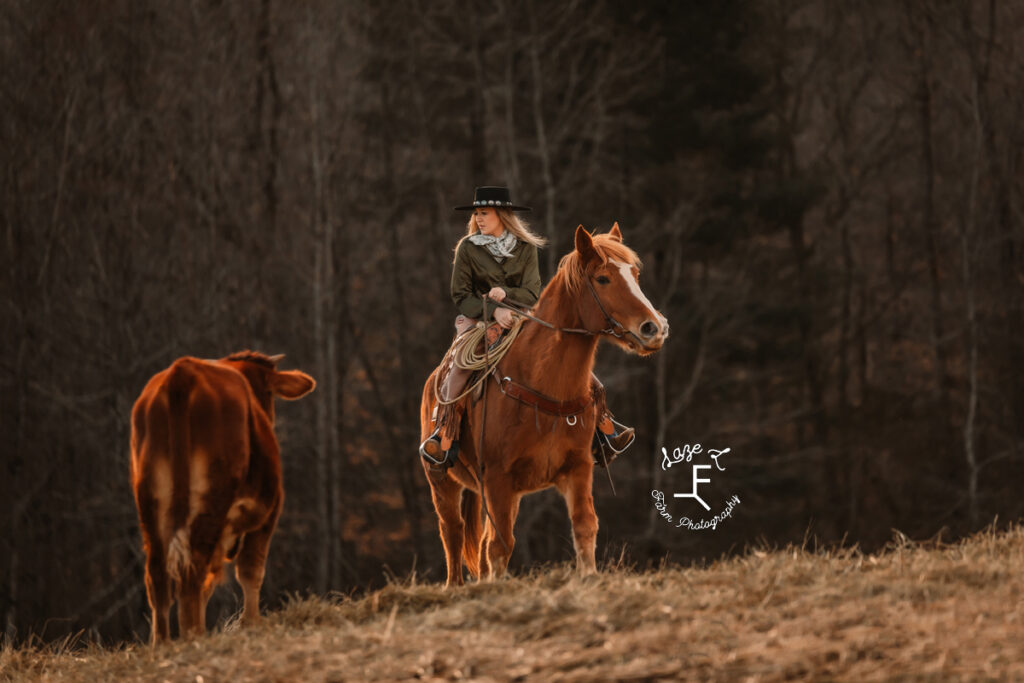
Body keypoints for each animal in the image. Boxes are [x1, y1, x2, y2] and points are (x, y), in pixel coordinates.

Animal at [132, 350, 315, 643]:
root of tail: (182, 373)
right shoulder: (267, 512)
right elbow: (251, 570)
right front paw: (251, 624)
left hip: (149, 503)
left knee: (158, 574)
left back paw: (163, 642)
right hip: (212, 500)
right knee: (193, 569)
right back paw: (193, 635)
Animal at [419, 225, 667, 589]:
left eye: (635, 274)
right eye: (603, 278)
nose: (655, 328)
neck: (543, 384)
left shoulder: (577, 469)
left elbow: (584, 525)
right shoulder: (498, 479)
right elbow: (500, 545)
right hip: (442, 480)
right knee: (452, 532)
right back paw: (455, 586)